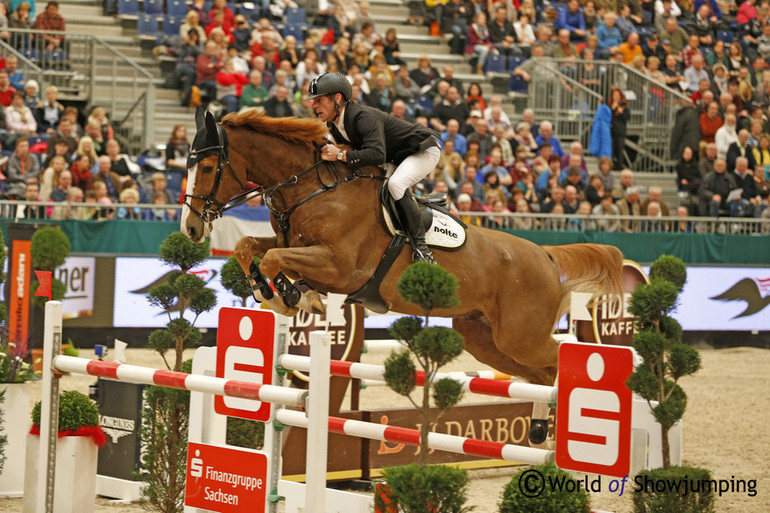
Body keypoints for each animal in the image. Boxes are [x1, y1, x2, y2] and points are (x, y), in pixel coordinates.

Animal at [182, 109, 624, 444]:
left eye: (207, 165)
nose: (190, 228)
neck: (311, 187)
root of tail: (546, 256)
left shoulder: (339, 267)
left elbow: (274, 259)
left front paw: (286, 297)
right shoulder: (295, 246)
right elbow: (249, 247)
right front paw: (291, 295)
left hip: (521, 335)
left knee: (557, 360)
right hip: (488, 340)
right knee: (539, 373)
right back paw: (539, 431)